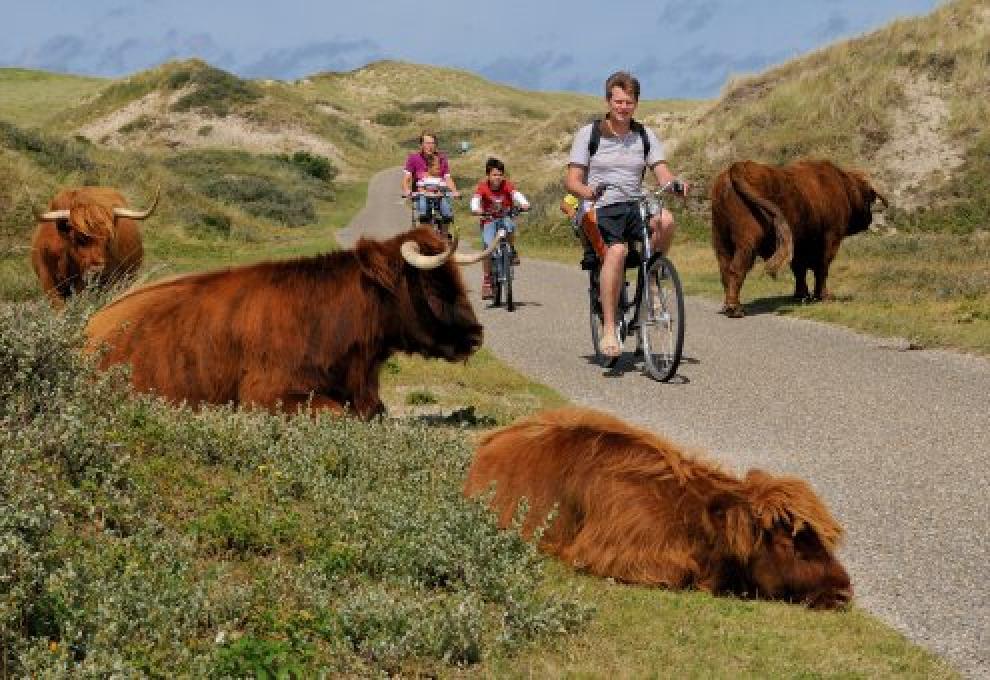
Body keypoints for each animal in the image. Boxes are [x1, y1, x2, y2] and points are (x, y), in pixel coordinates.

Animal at [708, 161, 888, 318]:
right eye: (869, 198)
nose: (869, 220)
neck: (841, 185)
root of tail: (737, 167)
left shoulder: (800, 246)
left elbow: (799, 270)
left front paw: (801, 295)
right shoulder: (830, 240)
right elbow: (821, 270)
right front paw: (823, 296)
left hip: (721, 240)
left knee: (725, 270)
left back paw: (727, 306)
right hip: (747, 241)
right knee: (737, 269)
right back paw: (735, 309)